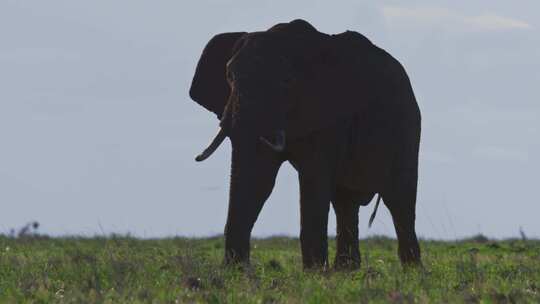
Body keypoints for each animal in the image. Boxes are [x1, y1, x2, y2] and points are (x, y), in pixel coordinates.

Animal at [190, 19, 422, 270]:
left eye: (287, 81)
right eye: (229, 75)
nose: (237, 266)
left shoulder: (328, 117)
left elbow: (312, 178)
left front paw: (314, 273)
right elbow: (260, 179)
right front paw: (237, 272)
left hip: (407, 126)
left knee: (398, 198)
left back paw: (411, 271)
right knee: (345, 201)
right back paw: (346, 270)